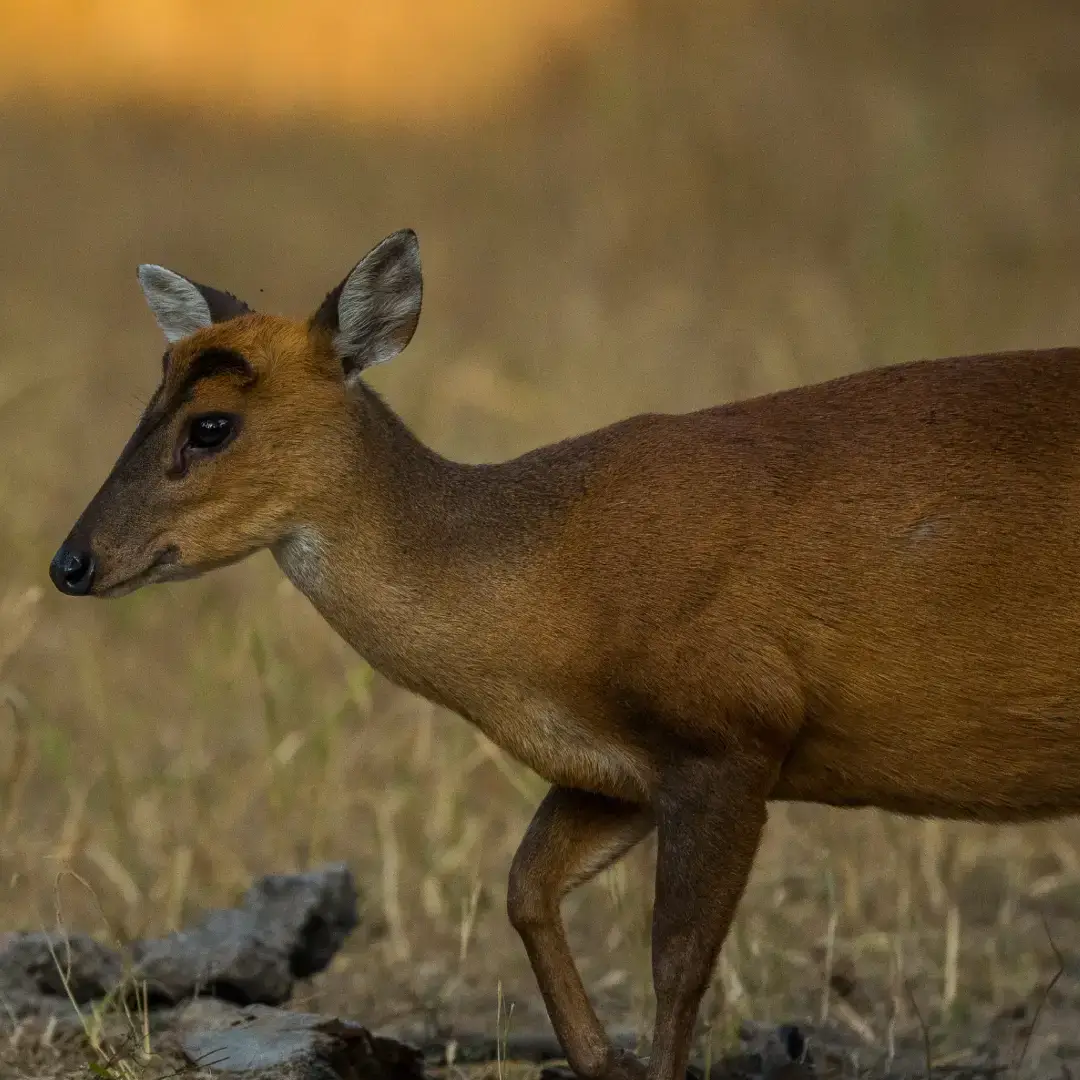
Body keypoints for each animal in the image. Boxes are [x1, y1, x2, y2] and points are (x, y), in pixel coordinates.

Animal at [50, 227, 1080, 1080]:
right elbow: (526, 886)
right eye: (148, 405)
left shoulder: (735, 727)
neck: (548, 588)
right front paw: (598, 1059)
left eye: (210, 425)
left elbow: (676, 962)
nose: (71, 562)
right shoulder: (622, 770)